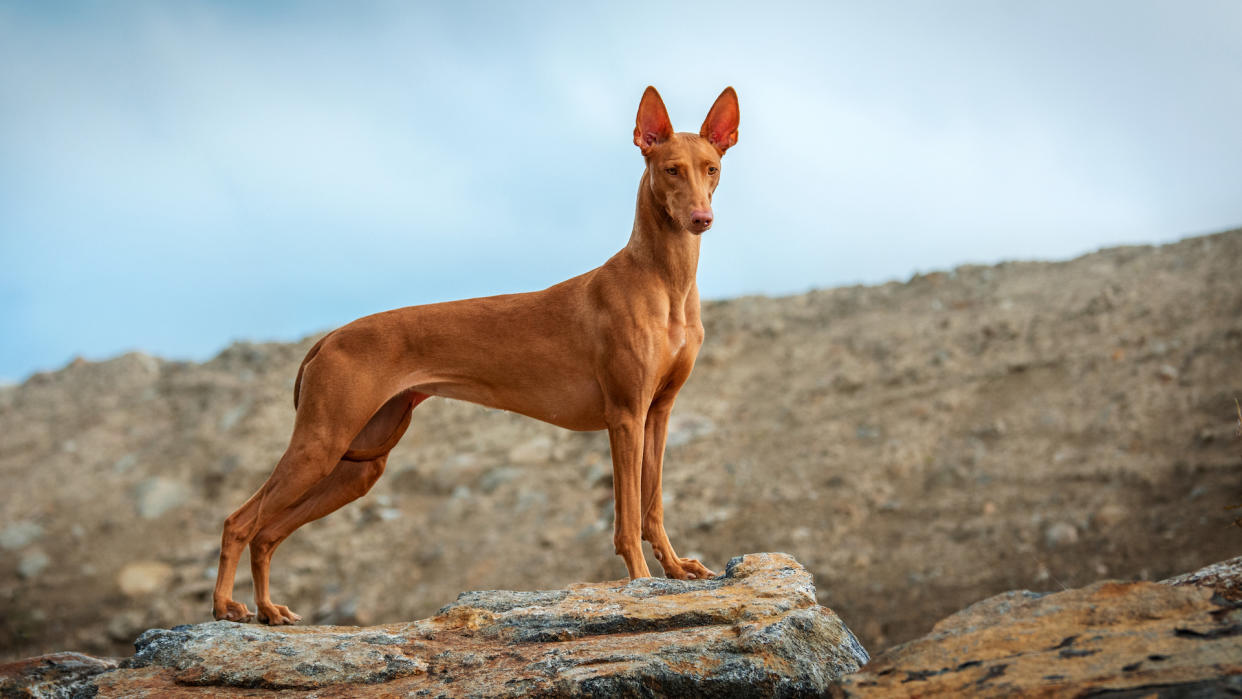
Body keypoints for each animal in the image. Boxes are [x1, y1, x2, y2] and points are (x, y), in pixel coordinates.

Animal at [212, 85, 735, 625]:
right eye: (670, 169)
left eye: (711, 168)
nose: (701, 219)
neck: (662, 281)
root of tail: (329, 337)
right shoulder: (626, 416)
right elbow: (628, 516)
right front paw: (639, 581)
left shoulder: (658, 412)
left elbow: (653, 506)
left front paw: (675, 568)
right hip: (320, 444)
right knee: (239, 521)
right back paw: (227, 605)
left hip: (357, 465)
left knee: (268, 532)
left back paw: (269, 609)